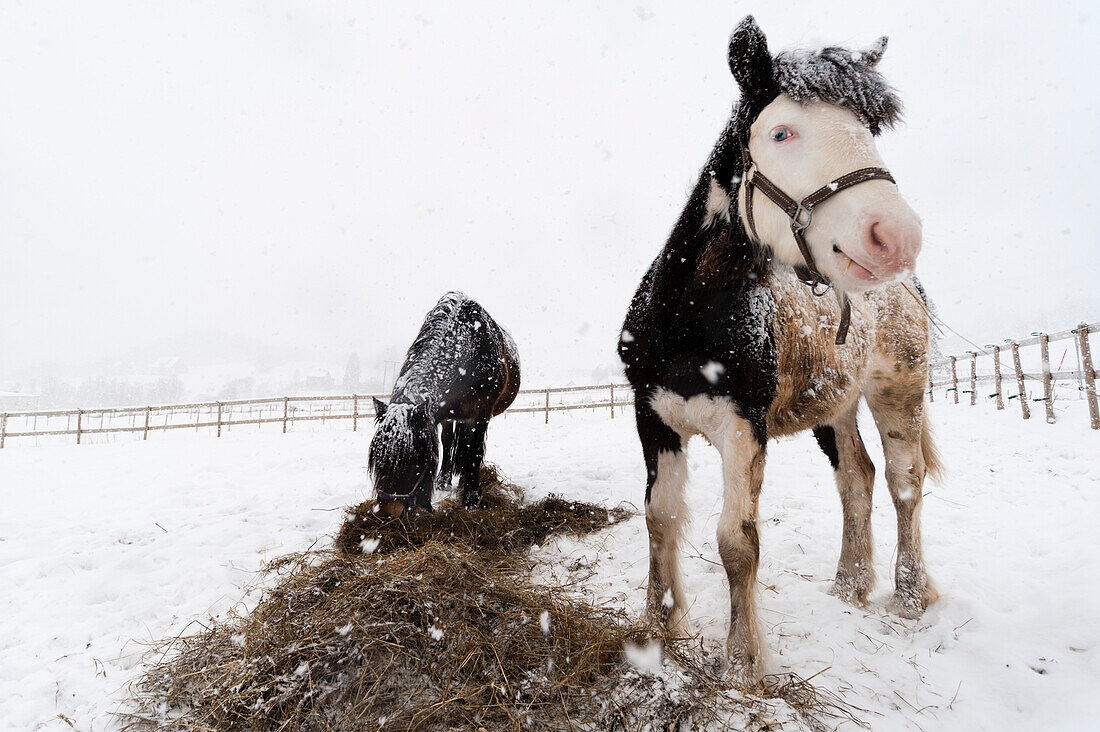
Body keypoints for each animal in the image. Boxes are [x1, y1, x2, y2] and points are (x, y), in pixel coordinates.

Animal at [369, 292, 519, 519]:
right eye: (377, 458)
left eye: (413, 459)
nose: (386, 513)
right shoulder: (445, 415)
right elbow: (448, 445)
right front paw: (445, 482)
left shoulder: (482, 414)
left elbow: (475, 451)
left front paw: (471, 497)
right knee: (451, 443)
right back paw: (446, 480)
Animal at [620, 17, 946, 686]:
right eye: (781, 132)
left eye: (868, 131)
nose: (897, 236)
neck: (691, 323)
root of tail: (906, 285)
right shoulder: (652, 418)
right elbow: (659, 518)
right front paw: (658, 630)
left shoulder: (743, 428)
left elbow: (737, 541)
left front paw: (744, 662)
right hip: (835, 406)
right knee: (856, 477)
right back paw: (850, 584)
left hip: (899, 390)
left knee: (903, 480)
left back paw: (907, 595)